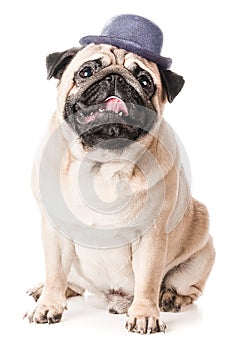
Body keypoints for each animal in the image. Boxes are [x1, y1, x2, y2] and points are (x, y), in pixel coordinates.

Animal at [26, 15, 215, 334]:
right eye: (86, 71)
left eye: (145, 81)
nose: (115, 78)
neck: (102, 162)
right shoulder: (55, 232)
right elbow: (54, 271)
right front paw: (49, 304)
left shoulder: (152, 237)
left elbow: (148, 279)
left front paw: (144, 314)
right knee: (69, 279)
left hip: (201, 252)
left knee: (185, 288)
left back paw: (170, 298)